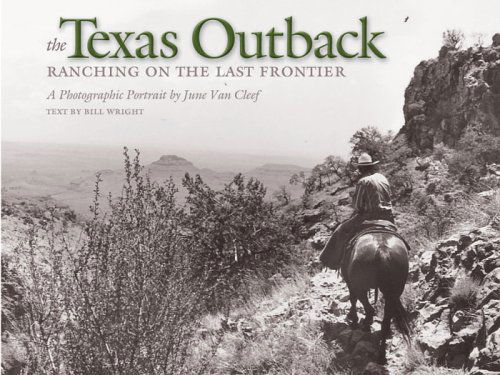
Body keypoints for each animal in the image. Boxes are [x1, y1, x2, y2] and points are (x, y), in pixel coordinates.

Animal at [342, 232, 412, 364]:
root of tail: (382, 250)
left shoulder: (350, 283)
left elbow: (352, 299)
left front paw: (353, 318)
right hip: (393, 292)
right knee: (385, 321)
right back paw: (381, 355)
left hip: (360, 285)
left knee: (368, 307)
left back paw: (366, 326)